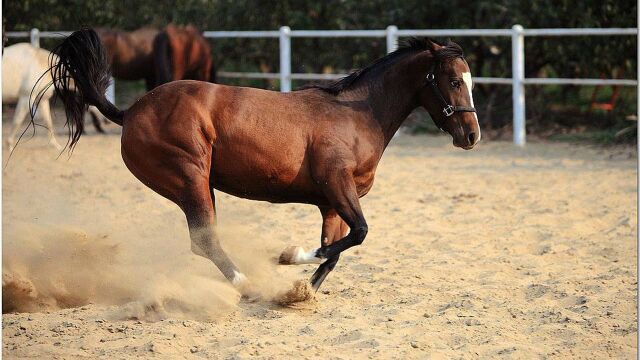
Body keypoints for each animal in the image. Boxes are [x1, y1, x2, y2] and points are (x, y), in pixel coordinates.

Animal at [46, 28, 480, 298]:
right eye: (454, 81)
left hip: (199, 185)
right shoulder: (336, 184)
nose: (472, 136)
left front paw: (300, 292)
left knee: (202, 241)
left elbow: (335, 249)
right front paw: (287, 257)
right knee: (205, 240)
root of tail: (130, 111)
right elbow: (357, 234)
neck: (358, 115)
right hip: (190, 178)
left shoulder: (332, 202)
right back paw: (246, 284)